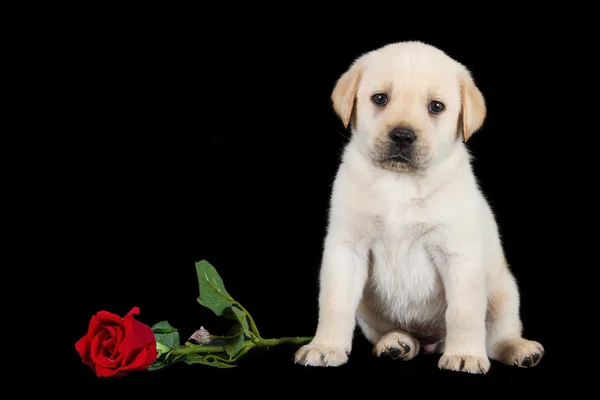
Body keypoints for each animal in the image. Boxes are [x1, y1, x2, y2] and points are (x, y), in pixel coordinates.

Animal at [296, 42, 544, 374]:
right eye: (380, 98)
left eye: (436, 106)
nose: (402, 135)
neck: (400, 183)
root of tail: (431, 342)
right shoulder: (347, 249)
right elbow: (334, 304)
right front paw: (324, 347)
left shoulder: (458, 255)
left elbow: (464, 313)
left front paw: (464, 354)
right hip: (369, 310)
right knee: (390, 331)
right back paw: (396, 344)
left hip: (504, 292)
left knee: (498, 336)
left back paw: (518, 348)